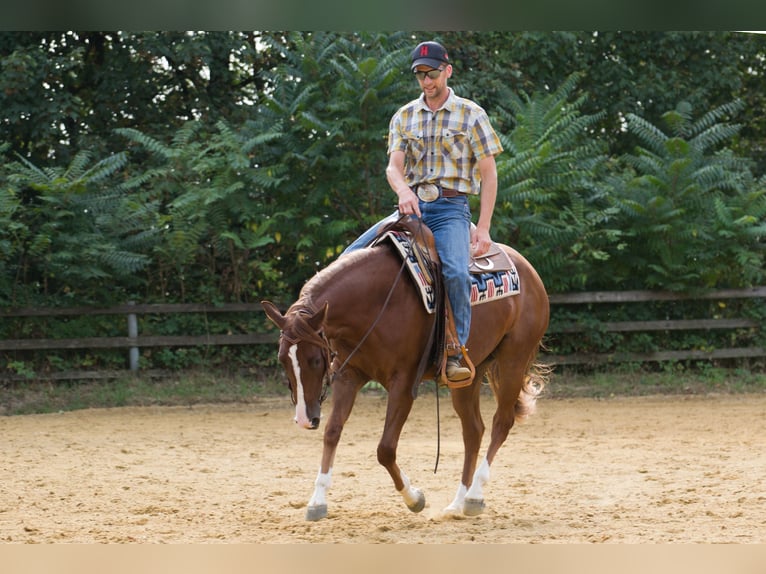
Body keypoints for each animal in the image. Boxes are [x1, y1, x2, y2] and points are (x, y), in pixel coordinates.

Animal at [260, 227, 548, 524]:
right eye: (283, 360)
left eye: (315, 360)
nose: (305, 420)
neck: (375, 303)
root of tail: (528, 271)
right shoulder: (348, 375)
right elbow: (332, 432)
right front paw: (317, 501)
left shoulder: (404, 383)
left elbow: (385, 449)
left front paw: (414, 498)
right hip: (471, 373)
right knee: (473, 430)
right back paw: (457, 503)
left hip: (514, 359)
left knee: (501, 423)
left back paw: (475, 496)